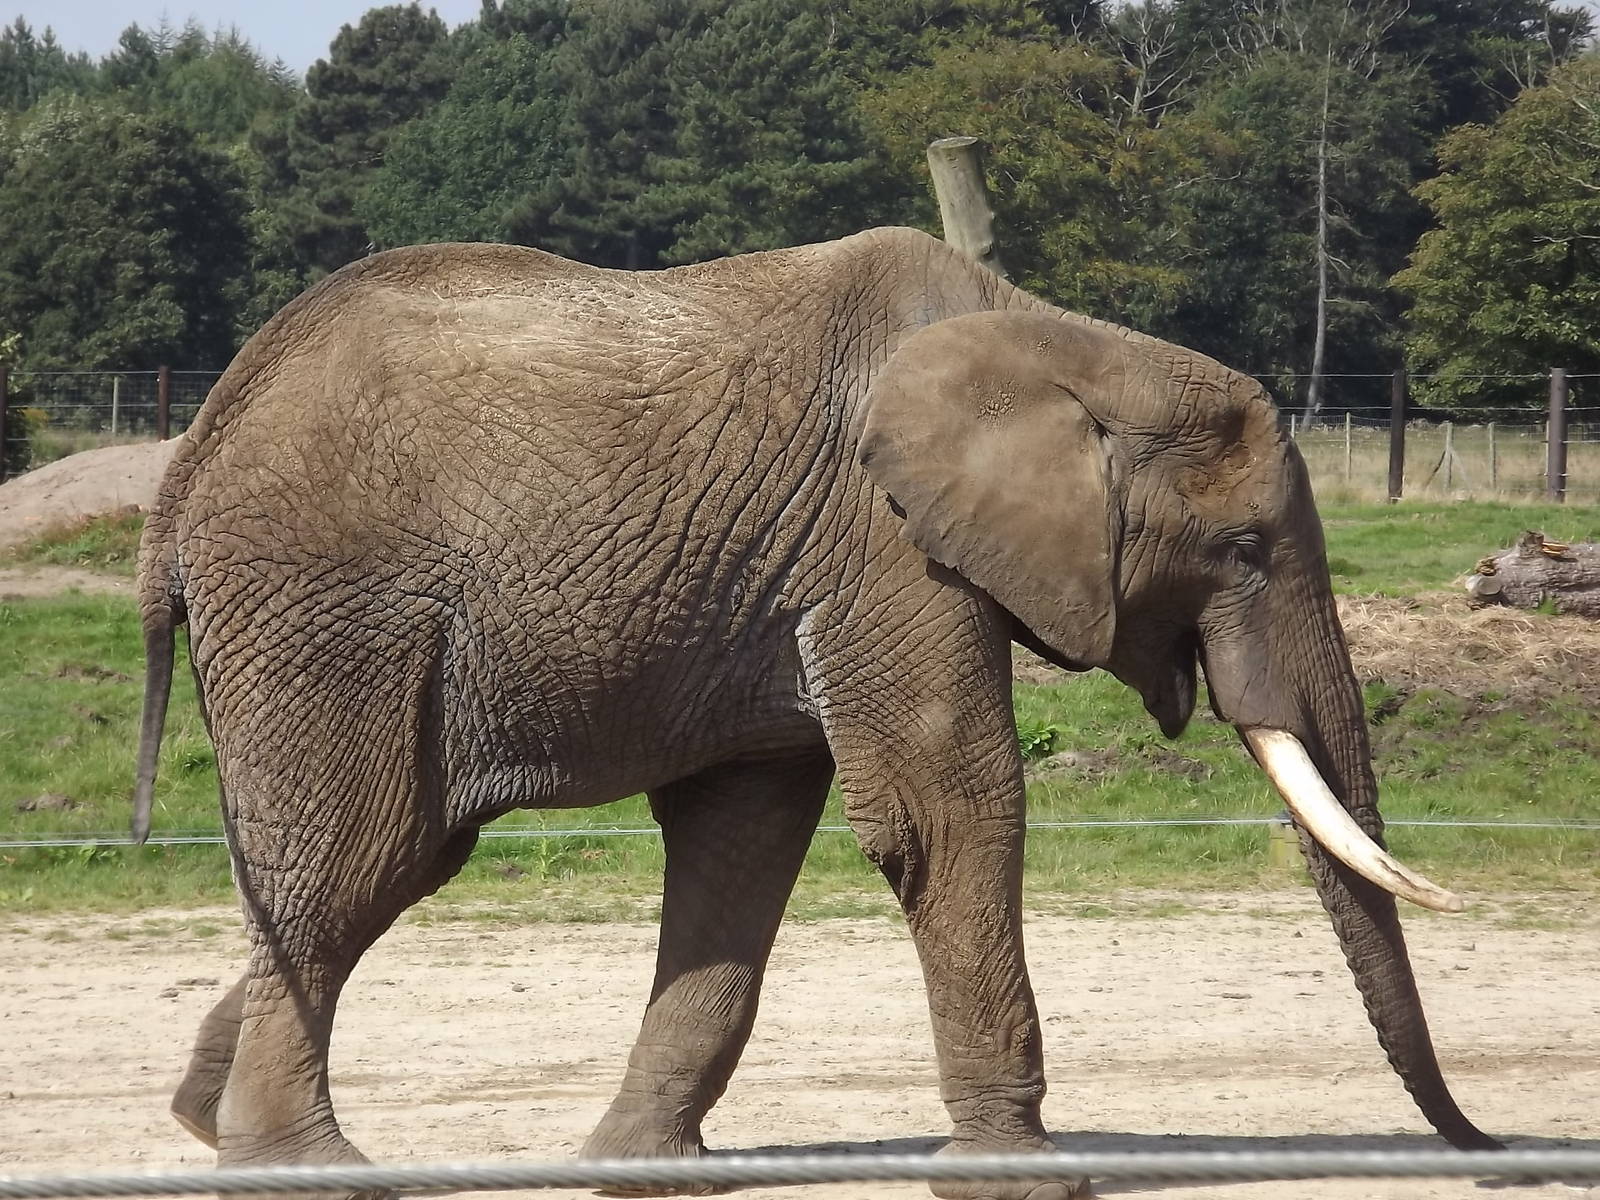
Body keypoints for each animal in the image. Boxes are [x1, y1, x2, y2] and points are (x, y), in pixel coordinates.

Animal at [132, 226, 1497, 1200]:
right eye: (1245, 548)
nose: (1483, 1148)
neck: (1063, 341)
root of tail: (189, 460)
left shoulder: (791, 576)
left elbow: (745, 837)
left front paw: (642, 1176)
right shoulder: (886, 547)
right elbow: (949, 807)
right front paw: (1022, 1183)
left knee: (387, 862)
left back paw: (201, 1115)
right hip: (327, 614)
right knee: (355, 861)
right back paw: (305, 1172)